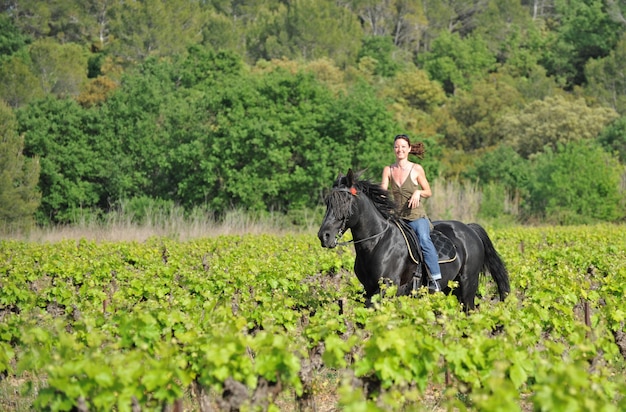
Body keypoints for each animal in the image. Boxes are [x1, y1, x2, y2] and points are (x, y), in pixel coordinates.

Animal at [316, 169, 508, 310]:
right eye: (328, 202)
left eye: (344, 201)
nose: (324, 236)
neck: (377, 243)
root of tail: (469, 229)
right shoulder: (369, 289)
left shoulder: (387, 288)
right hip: (451, 288)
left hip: (468, 283)